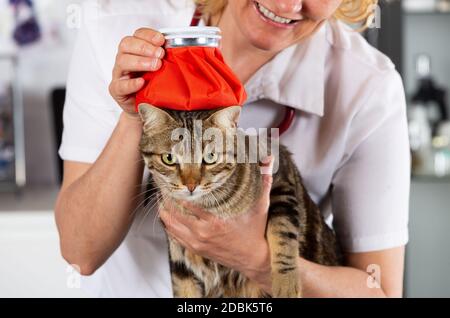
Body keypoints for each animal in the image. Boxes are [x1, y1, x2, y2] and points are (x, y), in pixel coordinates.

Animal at [137, 103, 342, 298]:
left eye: (210, 157)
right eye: (169, 158)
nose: (191, 185)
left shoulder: (281, 180)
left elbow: (283, 235)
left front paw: (286, 284)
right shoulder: (180, 263)